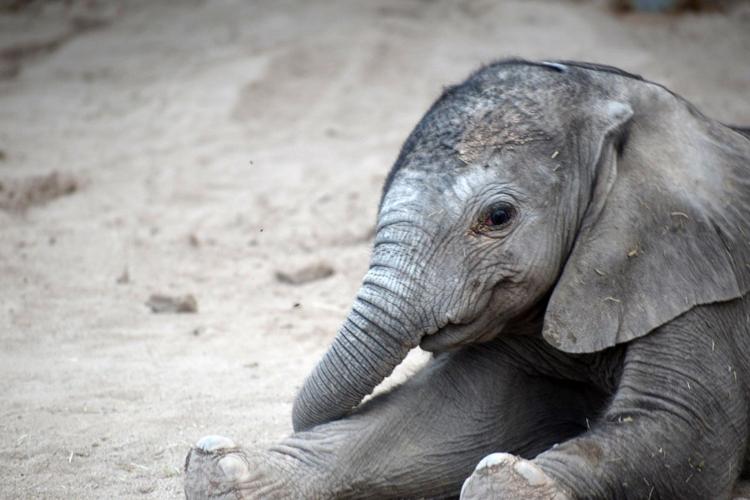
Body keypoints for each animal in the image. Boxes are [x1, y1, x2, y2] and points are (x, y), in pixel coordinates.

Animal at [182, 60, 750, 498]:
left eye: (498, 217)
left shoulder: (694, 278)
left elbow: (682, 429)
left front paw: (506, 480)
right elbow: (443, 418)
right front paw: (223, 467)